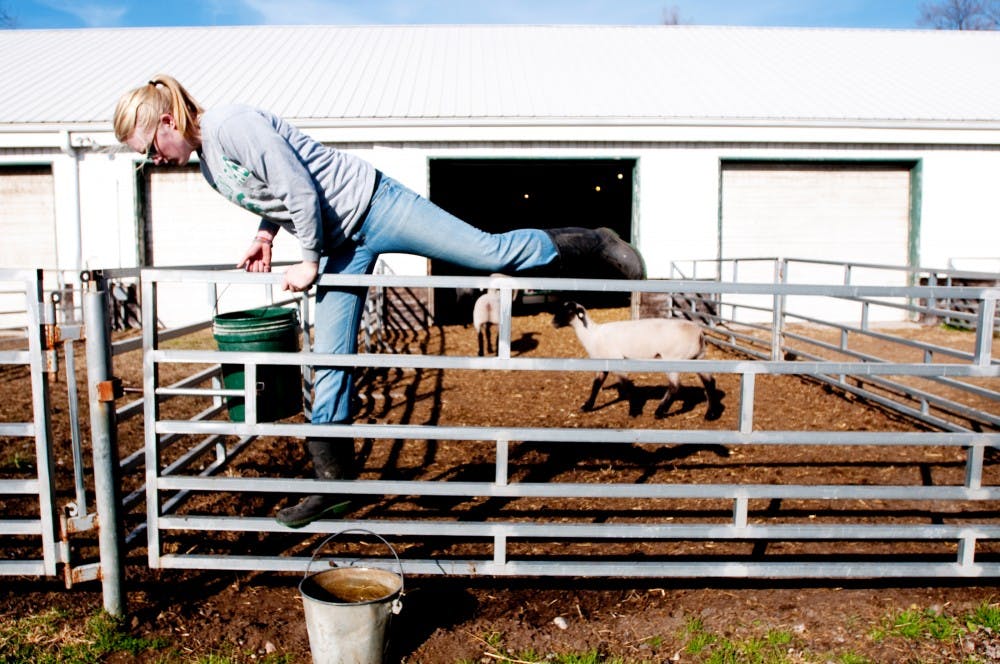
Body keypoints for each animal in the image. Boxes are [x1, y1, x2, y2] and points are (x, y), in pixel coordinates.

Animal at [551, 300, 722, 420]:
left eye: (569, 310)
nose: (553, 322)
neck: (592, 335)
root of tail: (699, 333)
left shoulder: (616, 360)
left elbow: (627, 387)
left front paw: (634, 411)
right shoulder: (604, 363)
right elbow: (596, 385)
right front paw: (587, 406)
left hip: (673, 358)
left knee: (675, 387)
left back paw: (659, 412)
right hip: (697, 358)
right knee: (710, 382)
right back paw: (710, 414)